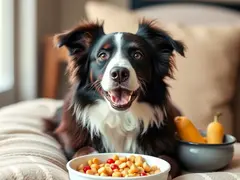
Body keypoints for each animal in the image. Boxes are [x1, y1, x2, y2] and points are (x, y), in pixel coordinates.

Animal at [48, 19, 184, 177]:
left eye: (137, 55)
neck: (120, 117)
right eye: (102, 55)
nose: (119, 73)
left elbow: (168, 160)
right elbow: (83, 150)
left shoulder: (171, 152)